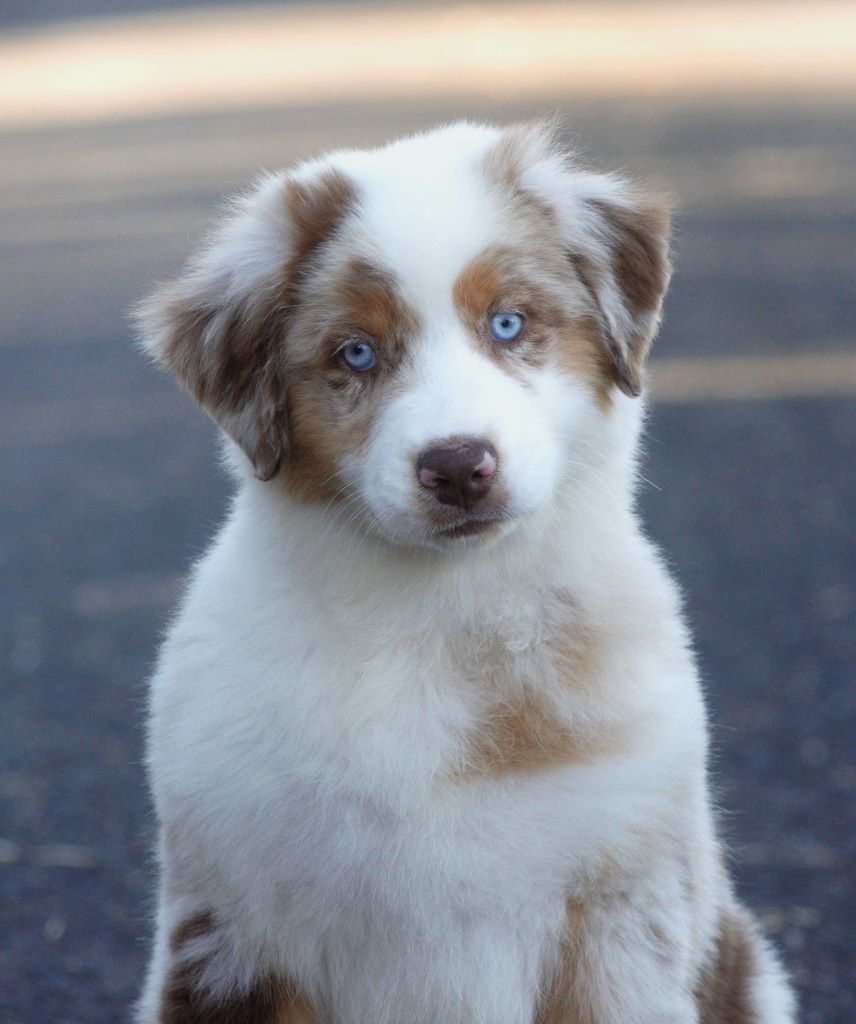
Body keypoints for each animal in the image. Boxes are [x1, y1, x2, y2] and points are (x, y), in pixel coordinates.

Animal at [134, 121, 794, 1024]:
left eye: (508, 323)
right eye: (357, 353)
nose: (456, 466)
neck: (437, 619)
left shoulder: (620, 911)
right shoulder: (235, 925)